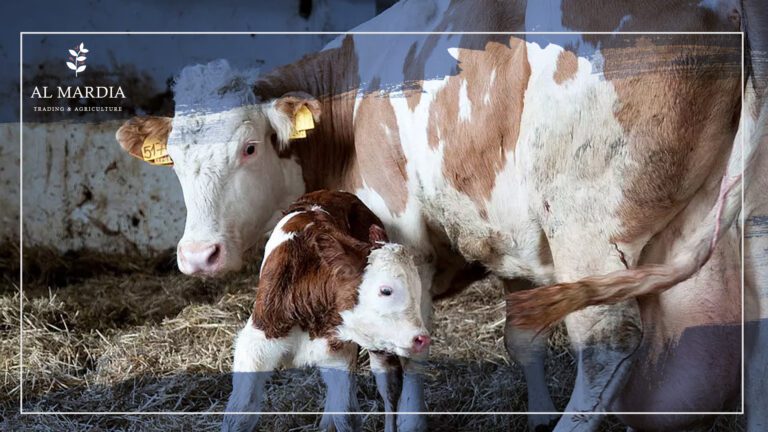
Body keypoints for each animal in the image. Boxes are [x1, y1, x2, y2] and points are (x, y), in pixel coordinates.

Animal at [224, 190, 430, 432]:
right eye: (386, 290)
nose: (422, 338)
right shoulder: (257, 344)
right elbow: (240, 414)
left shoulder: (338, 353)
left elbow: (347, 415)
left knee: (389, 389)